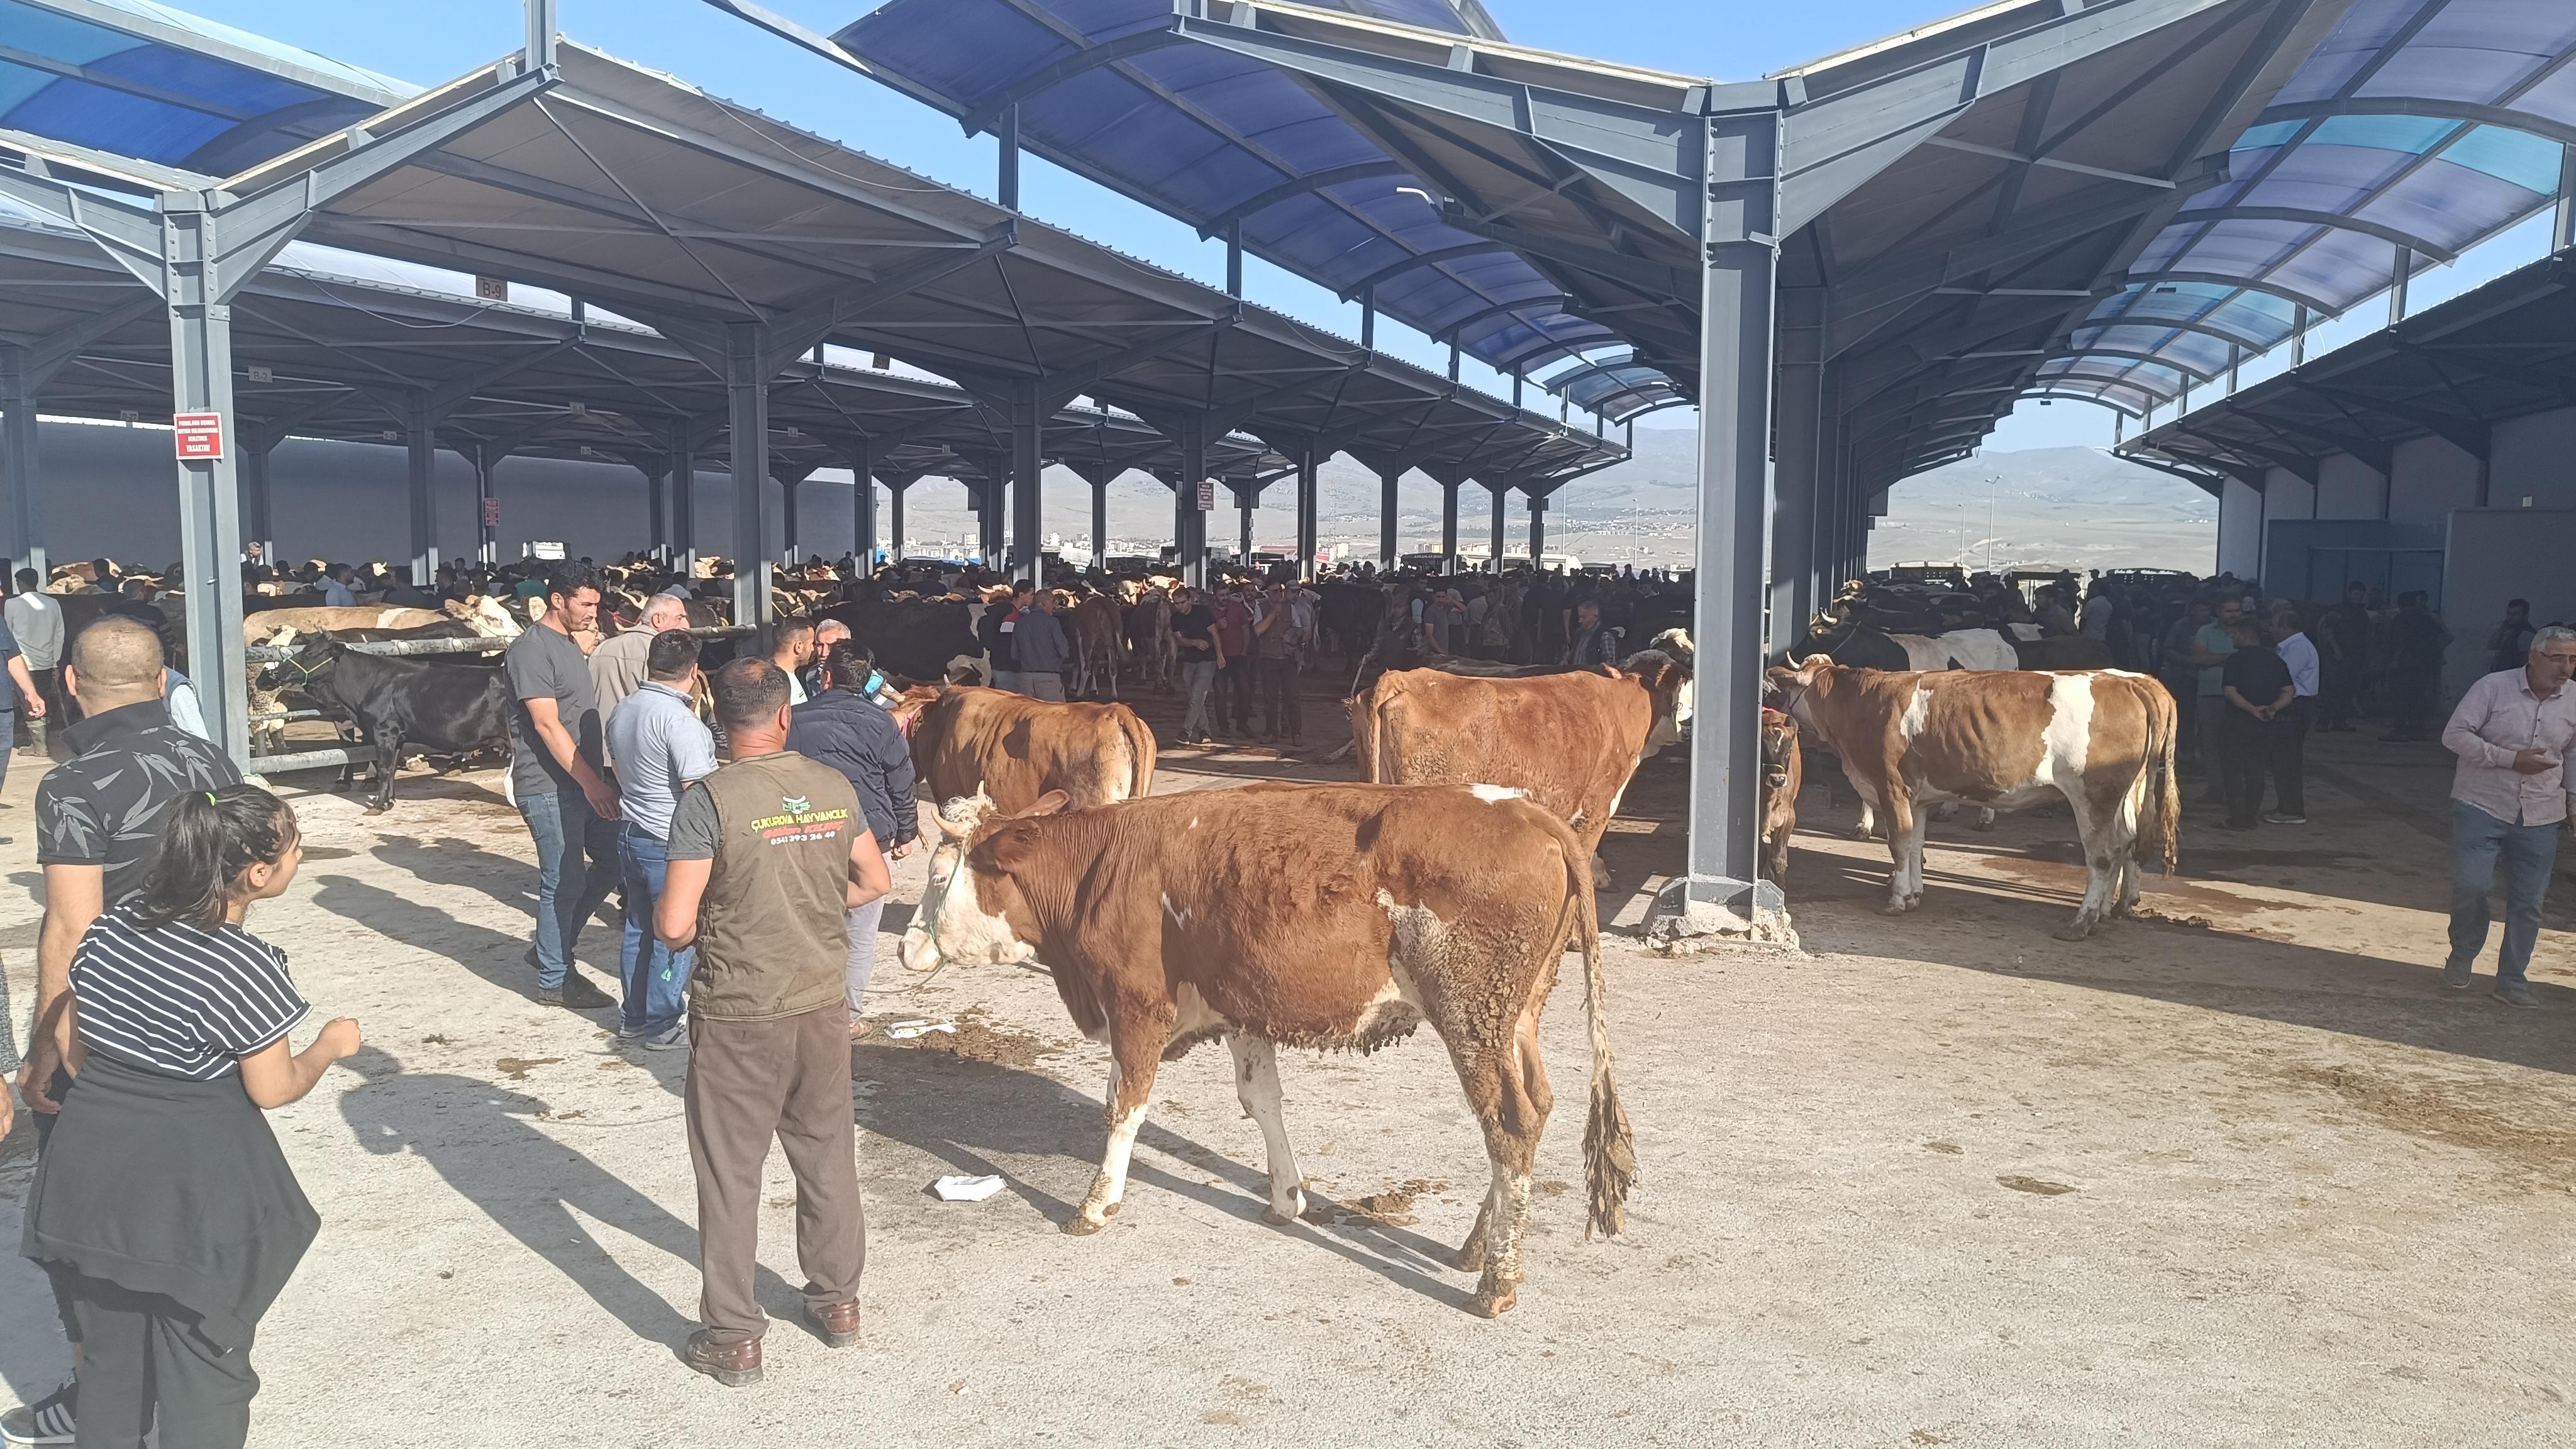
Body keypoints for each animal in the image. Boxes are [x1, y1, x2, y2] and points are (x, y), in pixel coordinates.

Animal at [260, 634, 507, 804]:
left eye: (311, 654)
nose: (275, 673)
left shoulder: (384, 731)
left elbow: (385, 768)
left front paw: (379, 804)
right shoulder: (398, 736)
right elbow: (391, 768)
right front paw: (389, 800)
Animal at [901, 784, 1628, 1314]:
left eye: (937, 877)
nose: (908, 948)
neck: (1098, 871)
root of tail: (1523, 809)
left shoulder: (1136, 1006)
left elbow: (1123, 1106)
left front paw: (1096, 1205)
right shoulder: (1243, 1006)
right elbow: (1262, 1102)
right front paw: (1286, 1198)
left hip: (1472, 1015)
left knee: (1509, 1123)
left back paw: (1496, 1282)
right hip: (1517, 1016)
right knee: (1537, 1107)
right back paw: (1476, 1247)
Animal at [1782, 655, 2184, 938]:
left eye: (1787, 693)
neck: (1865, 705)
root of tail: (2129, 683)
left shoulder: (1891, 787)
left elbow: (1898, 844)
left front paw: (1896, 900)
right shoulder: (1918, 796)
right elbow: (1915, 845)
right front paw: (1913, 894)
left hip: (2094, 795)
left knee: (2103, 855)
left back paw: (2082, 922)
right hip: (2124, 794)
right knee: (2126, 843)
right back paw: (2106, 910)